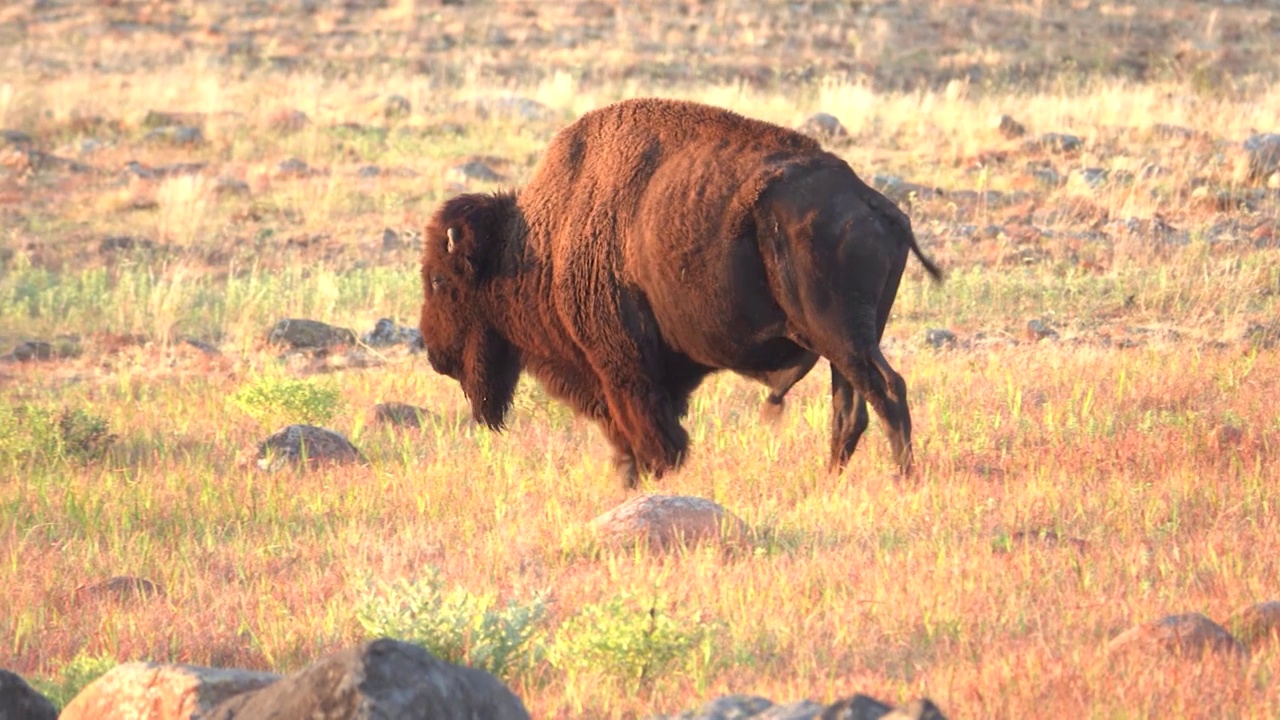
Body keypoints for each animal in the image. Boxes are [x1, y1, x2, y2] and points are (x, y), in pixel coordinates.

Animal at [419, 96, 942, 486]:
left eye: (441, 281)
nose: (435, 354)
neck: (537, 241)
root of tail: (874, 204)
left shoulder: (623, 368)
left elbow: (650, 434)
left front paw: (654, 476)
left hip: (842, 336)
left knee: (886, 390)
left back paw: (902, 478)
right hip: (846, 345)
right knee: (850, 409)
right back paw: (831, 478)